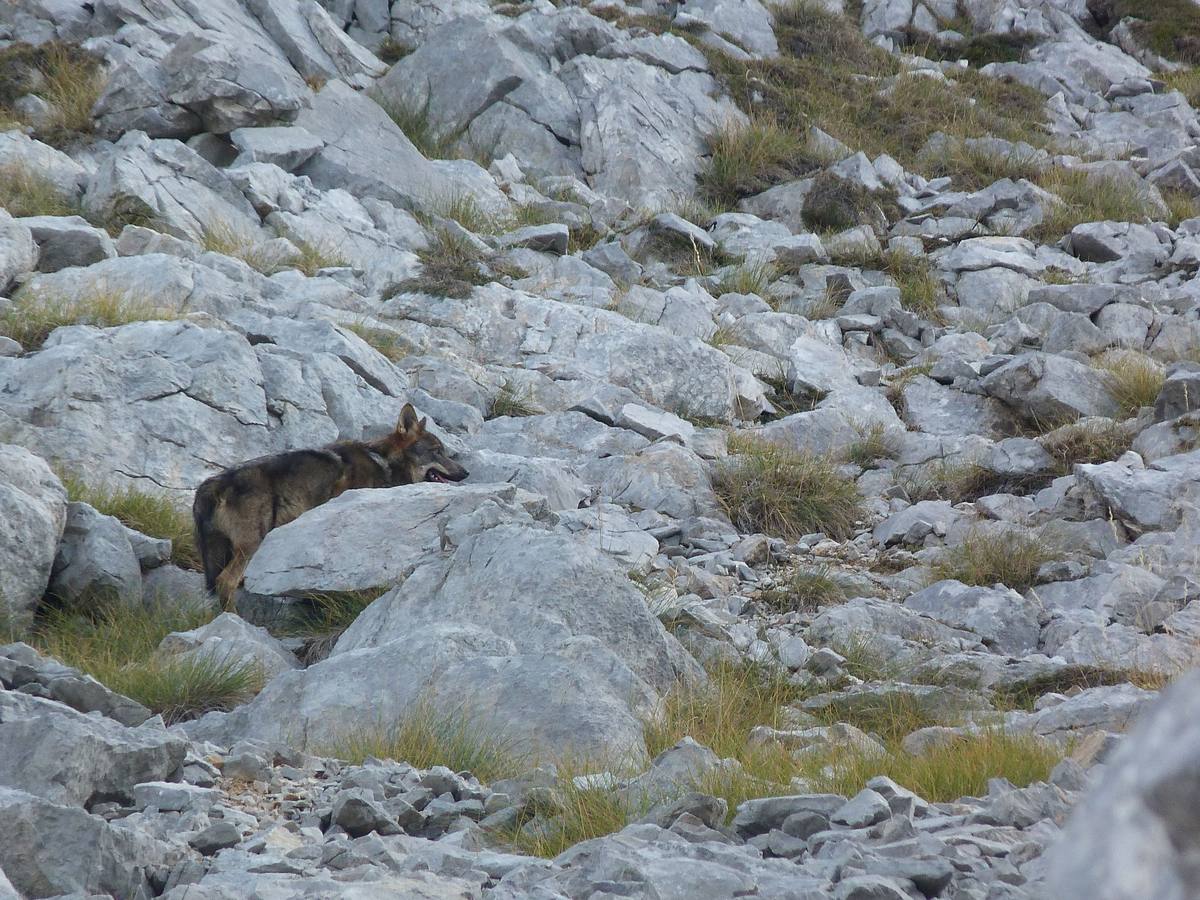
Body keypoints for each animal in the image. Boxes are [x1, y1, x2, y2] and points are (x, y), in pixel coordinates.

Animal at [190, 405, 463, 609]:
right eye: (437, 452)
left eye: (444, 452)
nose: (466, 472)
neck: (384, 462)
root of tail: (211, 485)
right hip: (251, 546)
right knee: (226, 582)